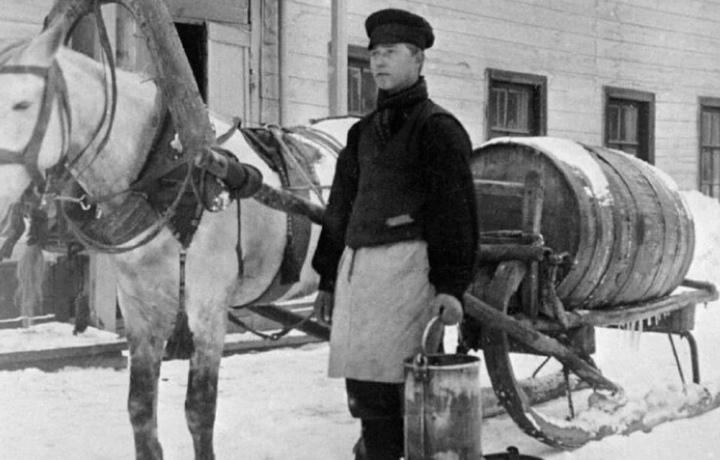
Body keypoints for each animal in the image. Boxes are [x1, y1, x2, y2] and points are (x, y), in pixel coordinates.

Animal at [0, 21, 356, 460]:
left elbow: (200, 409)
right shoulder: (138, 304)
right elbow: (139, 406)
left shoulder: (208, 303)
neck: (165, 171)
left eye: (22, 104)